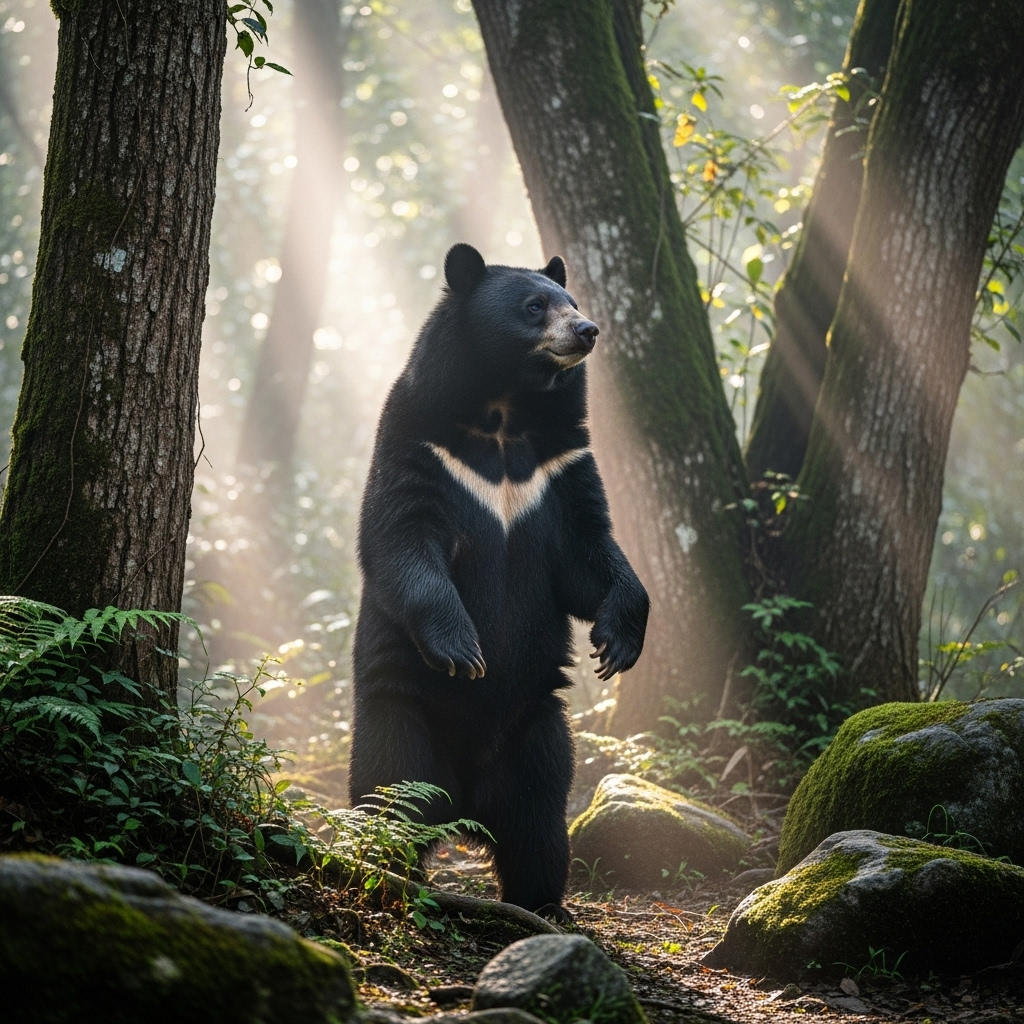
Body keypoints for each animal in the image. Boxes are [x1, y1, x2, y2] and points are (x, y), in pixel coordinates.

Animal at [348, 243, 649, 917]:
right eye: (535, 305)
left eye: (571, 299)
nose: (587, 330)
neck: (506, 411)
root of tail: (464, 806)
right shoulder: (422, 445)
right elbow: (401, 540)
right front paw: (464, 650)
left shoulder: (559, 465)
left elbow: (589, 554)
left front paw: (617, 642)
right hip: (401, 713)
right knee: (389, 794)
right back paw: (386, 874)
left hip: (535, 730)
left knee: (539, 821)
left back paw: (542, 902)